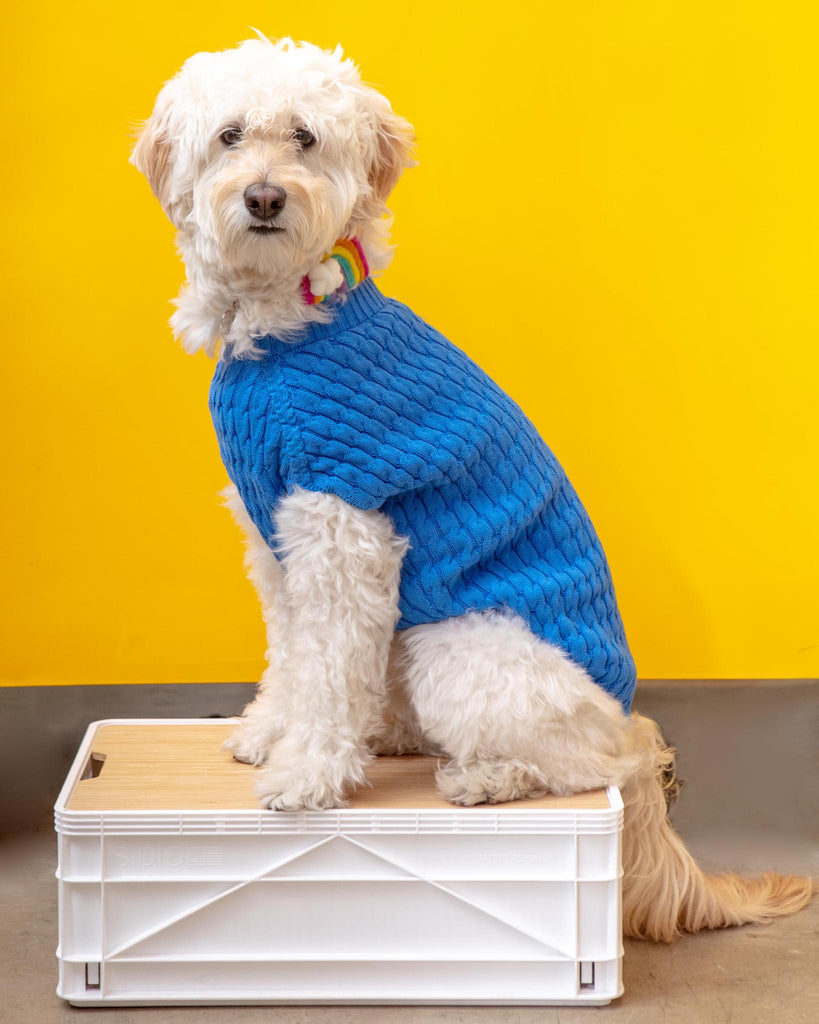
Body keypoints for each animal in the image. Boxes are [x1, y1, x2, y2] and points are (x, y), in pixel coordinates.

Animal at [133, 36, 810, 937]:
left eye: (306, 138)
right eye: (230, 136)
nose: (265, 197)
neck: (290, 324)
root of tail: (622, 710)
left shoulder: (344, 526)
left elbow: (327, 668)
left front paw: (305, 774)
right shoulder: (274, 532)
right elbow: (293, 654)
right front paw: (269, 731)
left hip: (460, 650)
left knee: (592, 764)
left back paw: (486, 776)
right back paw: (396, 741)